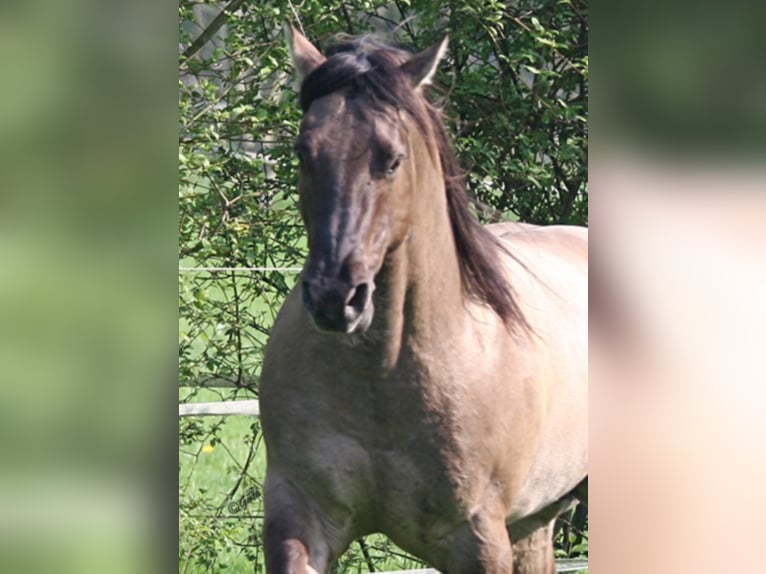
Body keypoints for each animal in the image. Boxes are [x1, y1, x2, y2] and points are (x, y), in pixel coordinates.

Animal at [258, 24, 588, 574]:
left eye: (393, 159)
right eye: (304, 152)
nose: (335, 298)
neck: (382, 377)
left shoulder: (477, 540)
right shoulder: (299, 516)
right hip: (536, 518)